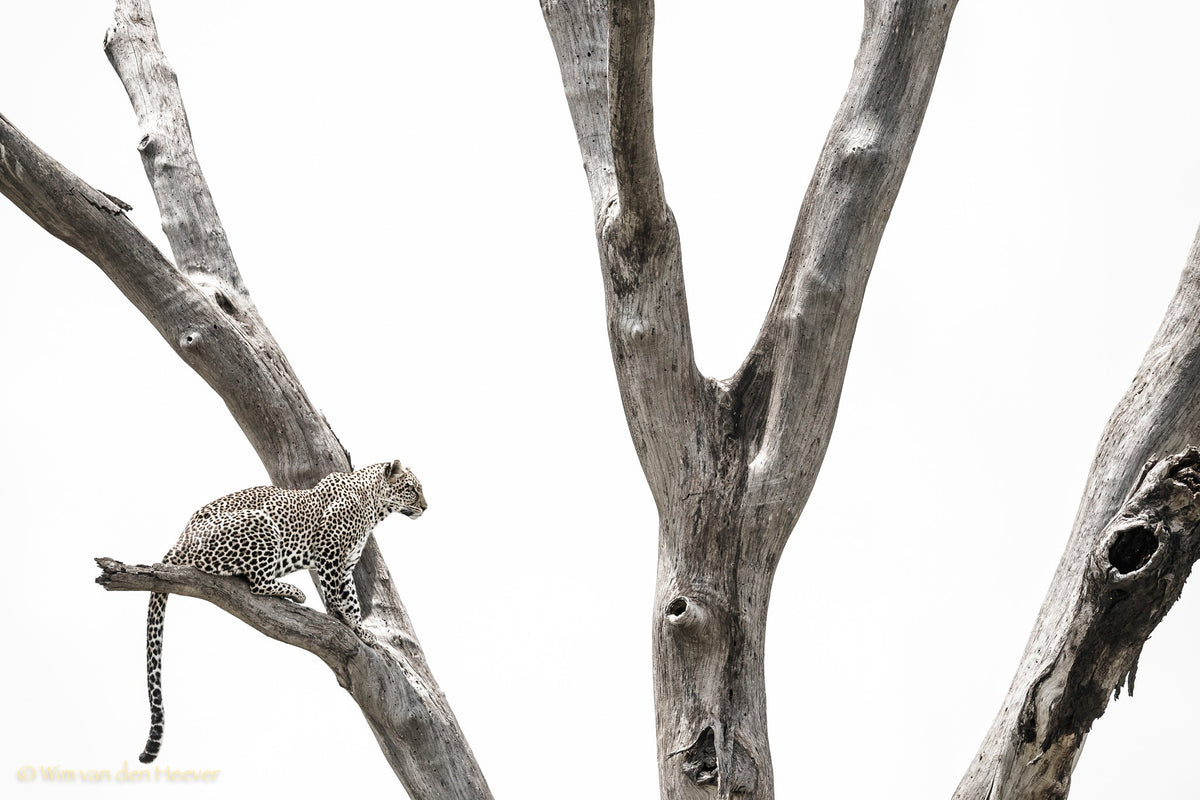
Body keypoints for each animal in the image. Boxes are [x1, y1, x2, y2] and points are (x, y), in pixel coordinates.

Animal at [138, 460, 426, 764]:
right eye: (411, 488)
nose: (426, 506)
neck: (373, 505)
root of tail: (180, 539)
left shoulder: (346, 565)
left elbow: (351, 599)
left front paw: (361, 630)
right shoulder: (330, 552)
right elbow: (335, 594)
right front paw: (344, 621)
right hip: (261, 524)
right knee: (256, 582)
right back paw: (294, 592)